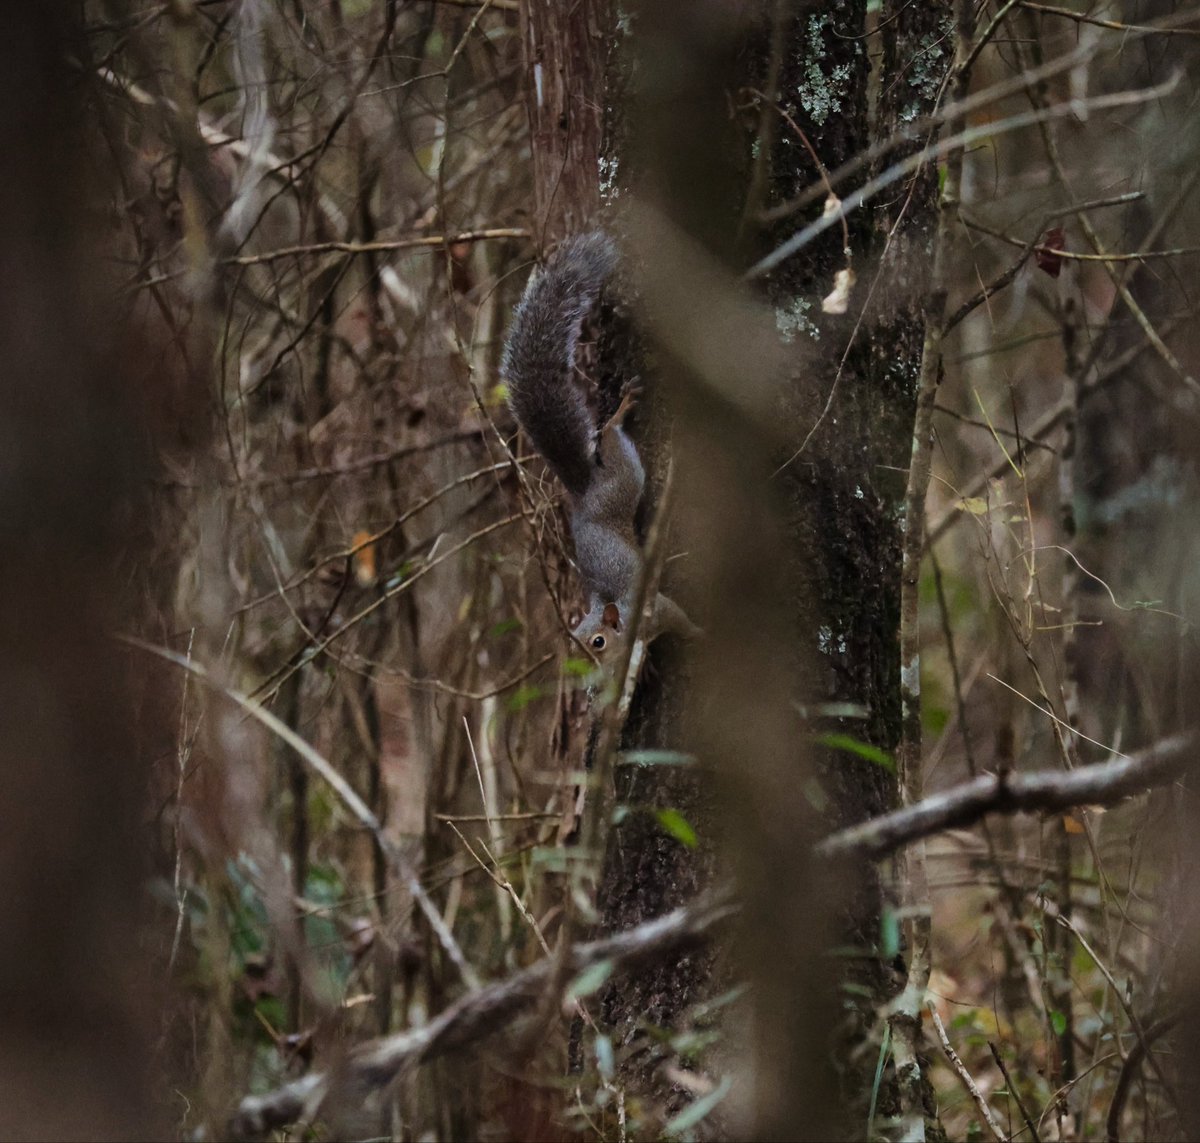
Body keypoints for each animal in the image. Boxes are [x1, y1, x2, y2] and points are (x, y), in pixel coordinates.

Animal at [502, 231, 696, 665]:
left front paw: (702, 635)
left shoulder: (656, 610)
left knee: (606, 432)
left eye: (598, 643)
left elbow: (680, 618)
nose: (585, 671)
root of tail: (583, 491)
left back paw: (619, 412)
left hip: (621, 479)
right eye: (575, 643)